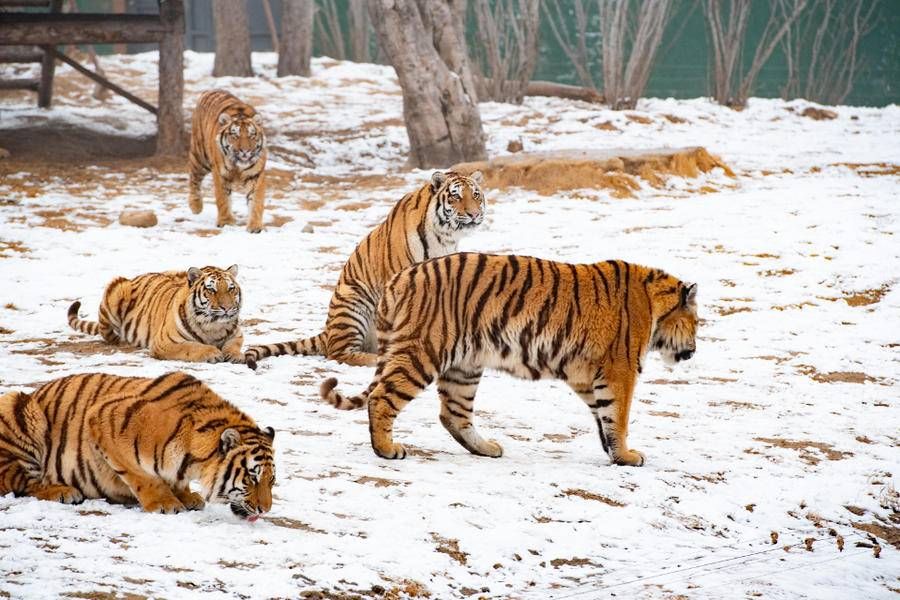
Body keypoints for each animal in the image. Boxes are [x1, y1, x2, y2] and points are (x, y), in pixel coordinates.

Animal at [0, 372, 274, 516]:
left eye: (271, 481)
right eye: (252, 477)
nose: (265, 510)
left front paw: (186, 496)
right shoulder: (102, 417)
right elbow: (142, 475)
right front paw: (165, 503)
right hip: (16, 404)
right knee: (20, 481)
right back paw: (62, 491)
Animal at [67, 264, 246, 364]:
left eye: (231, 289)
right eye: (211, 290)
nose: (227, 308)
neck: (213, 326)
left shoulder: (237, 334)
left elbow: (233, 345)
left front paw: (236, 355)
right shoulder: (164, 342)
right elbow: (191, 346)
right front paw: (212, 353)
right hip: (116, 288)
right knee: (108, 333)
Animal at [243, 169, 486, 372]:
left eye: (476, 195)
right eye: (455, 196)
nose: (474, 214)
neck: (444, 236)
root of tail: (328, 330)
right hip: (353, 304)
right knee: (338, 353)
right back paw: (375, 358)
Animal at [320, 253, 700, 468]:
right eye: (697, 322)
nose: (694, 350)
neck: (653, 303)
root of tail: (398, 279)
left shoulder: (587, 374)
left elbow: (604, 416)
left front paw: (613, 452)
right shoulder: (619, 369)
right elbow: (618, 416)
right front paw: (627, 457)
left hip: (464, 366)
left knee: (452, 414)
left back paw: (486, 449)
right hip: (422, 352)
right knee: (382, 397)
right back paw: (387, 450)